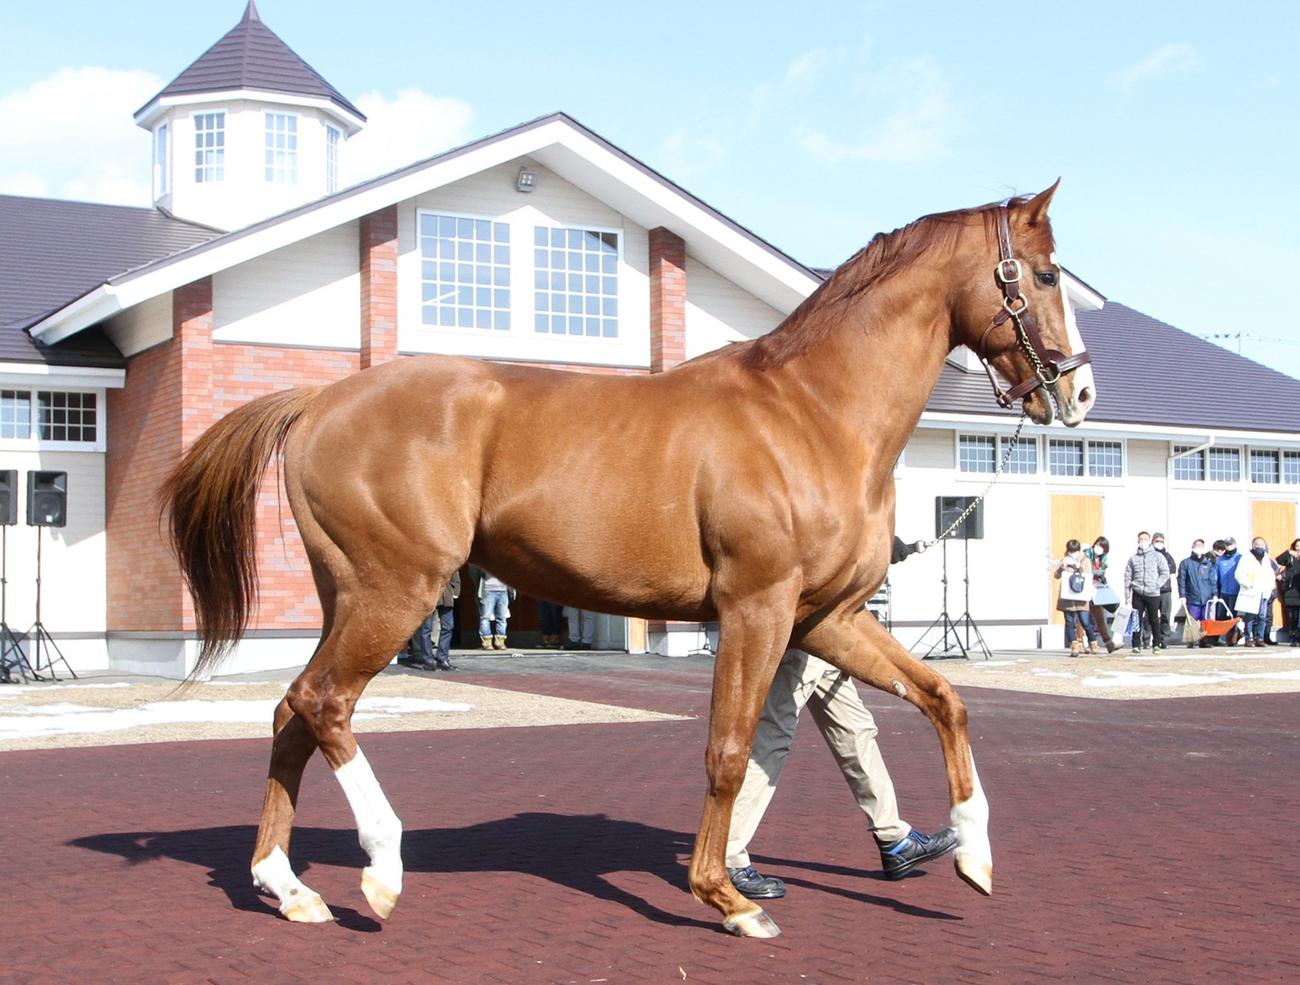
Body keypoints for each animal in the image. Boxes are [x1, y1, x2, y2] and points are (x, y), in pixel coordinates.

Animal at [162, 182, 1095, 938]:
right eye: (1046, 275)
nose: (1080, 390)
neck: (812, 411)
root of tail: (322, 397)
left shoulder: (825, 619)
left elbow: (943, 698)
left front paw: (971, 854)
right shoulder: (757, 609)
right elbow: (729, 749)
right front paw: (727, 896)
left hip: (348, 597)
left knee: (292, 711)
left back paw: (287, 887)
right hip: (396, 593)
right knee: (323, 704)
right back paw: (382, 870)